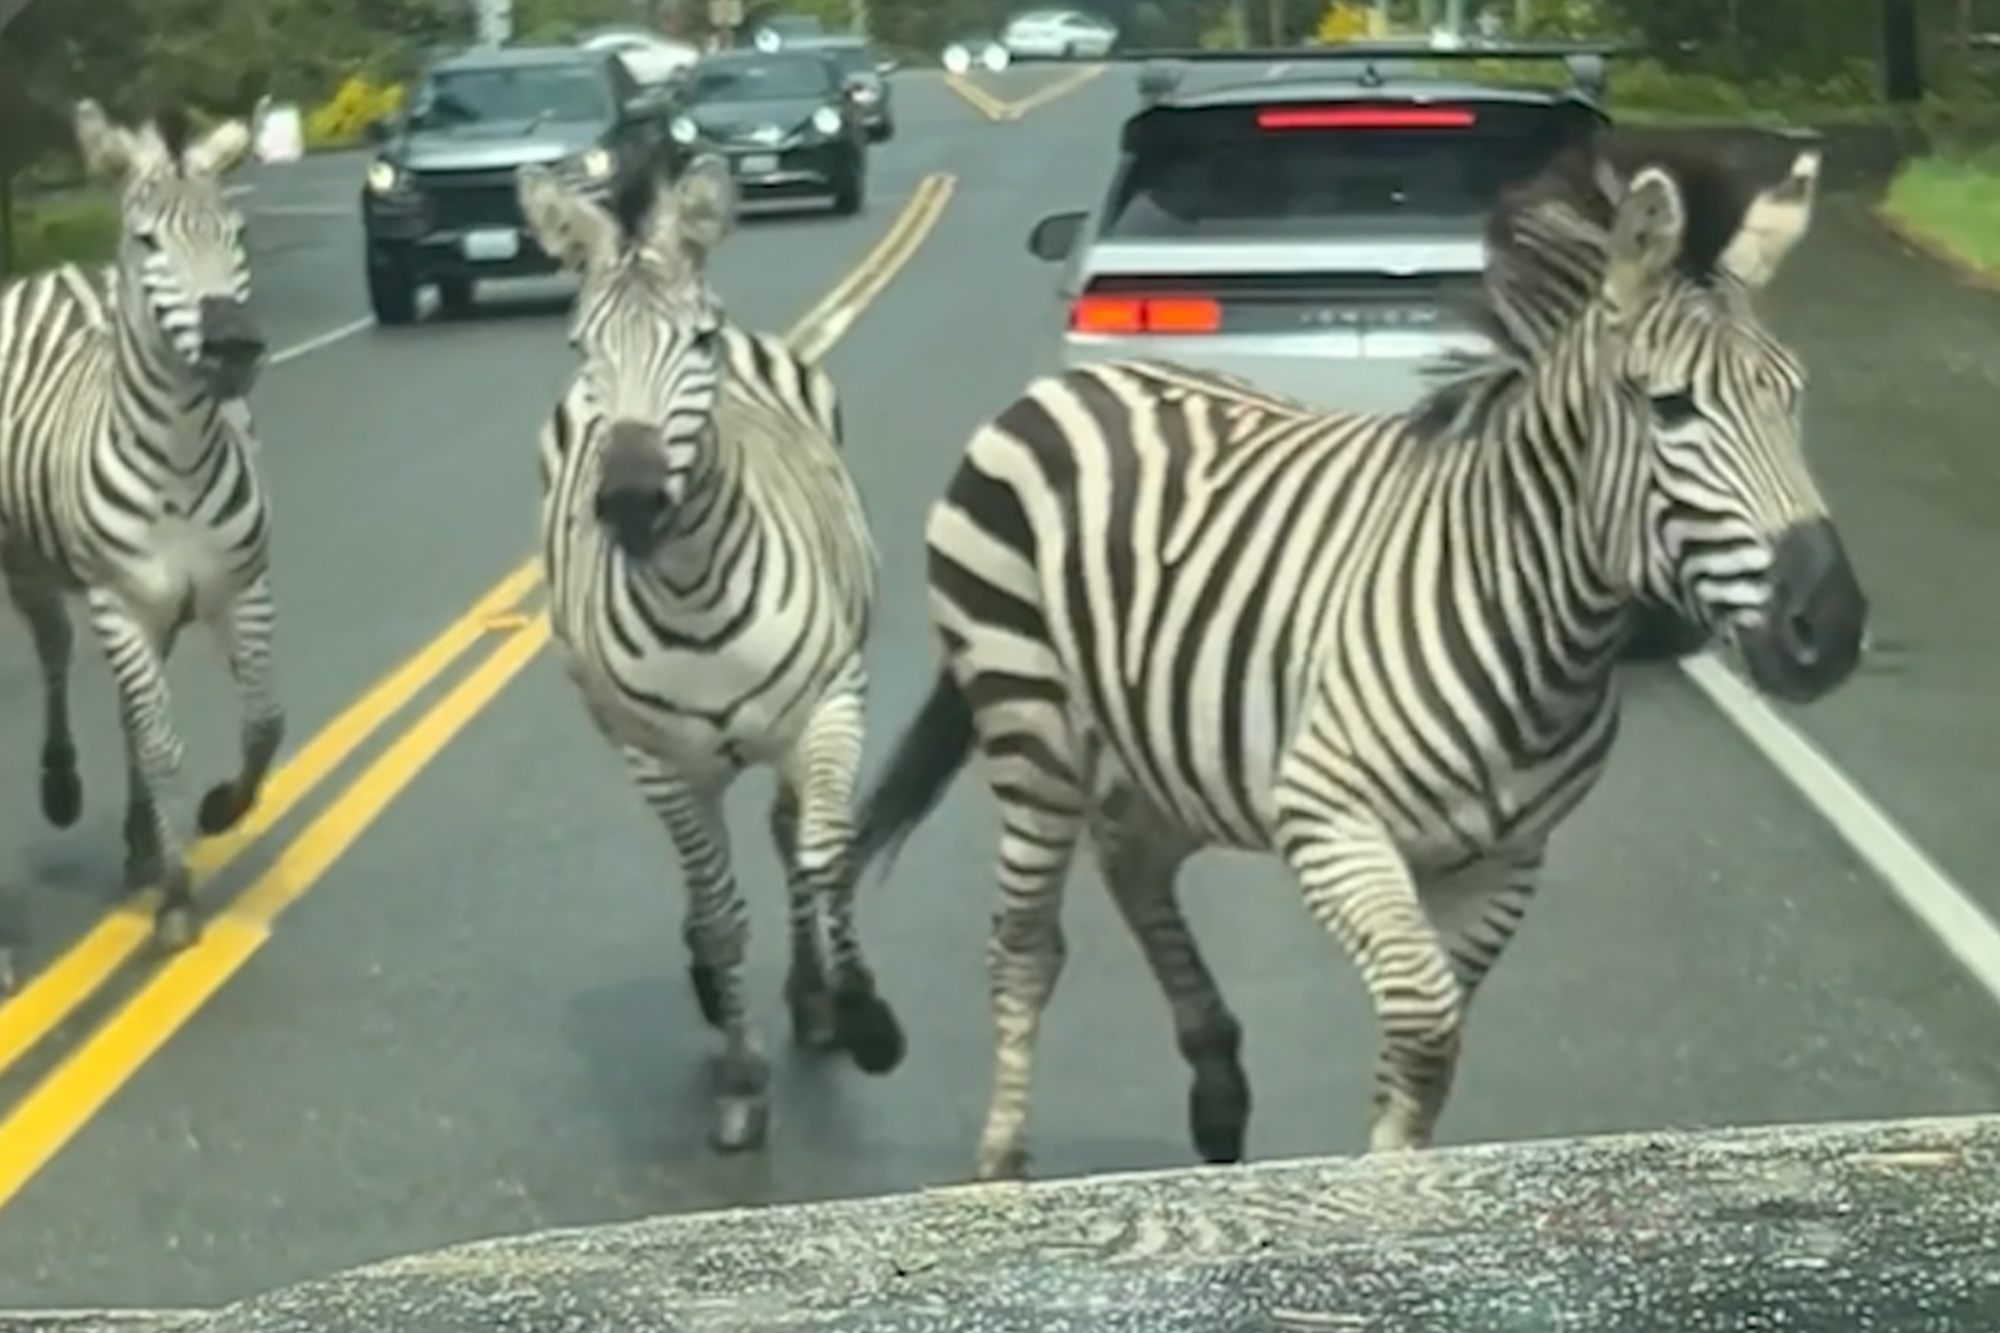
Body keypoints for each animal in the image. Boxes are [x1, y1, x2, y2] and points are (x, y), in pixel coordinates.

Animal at [1, 96, 286, 964]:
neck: (181, 465)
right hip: (35, 570)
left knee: (132, 707)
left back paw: (137, 842)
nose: (233, 347)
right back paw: (62, 787)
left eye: (238, 232)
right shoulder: (118, 599)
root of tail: (58, 273)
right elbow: (162, 744)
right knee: (56, 653)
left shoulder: (241, 588)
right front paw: (179, 901)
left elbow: (263, 724)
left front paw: (219, 809)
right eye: (148, 240)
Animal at [524, 158, 916, 1152]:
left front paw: (863, 1014)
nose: (628, 503)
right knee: (719, 881)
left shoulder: (833, 705)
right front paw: (741, 1077)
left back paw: (814, 995)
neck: (694, 592)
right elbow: (723, 911)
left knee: (790, 833)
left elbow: (826, 854)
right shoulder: (658, 762)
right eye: (581, 346)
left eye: (693, 342)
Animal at [852, 135, 1864, 1176]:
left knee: (1131, 852)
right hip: (1028, 712)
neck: (1530, 627)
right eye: (1670, 408)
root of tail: (1068, 385)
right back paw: (1002, 1165)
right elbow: (1422, 1023)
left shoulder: (1504, 861)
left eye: (1793, 399)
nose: (1829, 626)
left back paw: (1217, 1085)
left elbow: (1428, 1048)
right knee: (1025, 942)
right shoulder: (1330, 817)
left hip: (1178, 737)